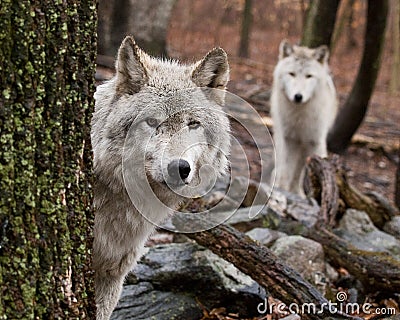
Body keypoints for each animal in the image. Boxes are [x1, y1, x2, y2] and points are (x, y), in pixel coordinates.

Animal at [270, 40, 340, 195]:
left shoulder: (314, 143)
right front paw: (282, 189)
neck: (300, 117)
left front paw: (296, 192)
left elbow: (301, 172)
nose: (298, 96)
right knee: (280, 166)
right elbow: (286, 170)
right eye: (292, 74)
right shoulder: (289, 140)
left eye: (309, 76)